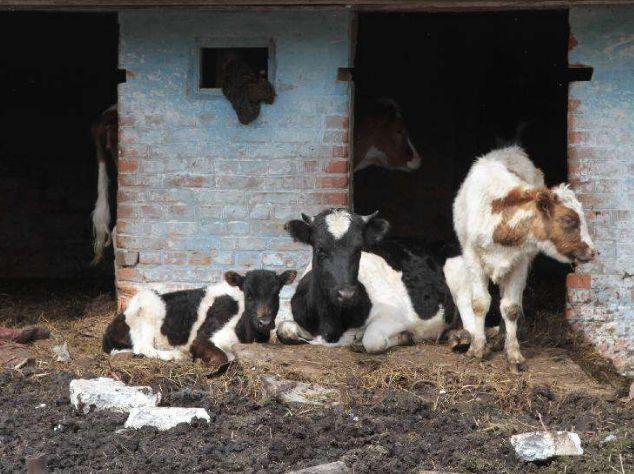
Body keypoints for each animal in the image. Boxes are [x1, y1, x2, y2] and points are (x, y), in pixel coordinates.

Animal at [102, 268, 298, 364]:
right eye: (248, 294)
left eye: (276, 294)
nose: (264, 322)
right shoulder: (202, 338)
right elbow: (223, 357)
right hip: (147, 307)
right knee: (144, 348)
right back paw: (177, 356)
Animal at [276, 209, 454, 354]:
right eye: (320, 249)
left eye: (358, 249)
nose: (346, 294)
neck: (331, 326)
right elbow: (283, 329)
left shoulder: (396, 316)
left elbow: (373, 340)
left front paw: (405, 337)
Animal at [444, 146, 592, 372]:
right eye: (568, 220)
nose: (592, 251)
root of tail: (510, 150)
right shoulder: (472, 256)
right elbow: (480, 303)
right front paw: (477, 348)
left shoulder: (520, 262)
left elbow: (511, 307)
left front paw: (513, 354)